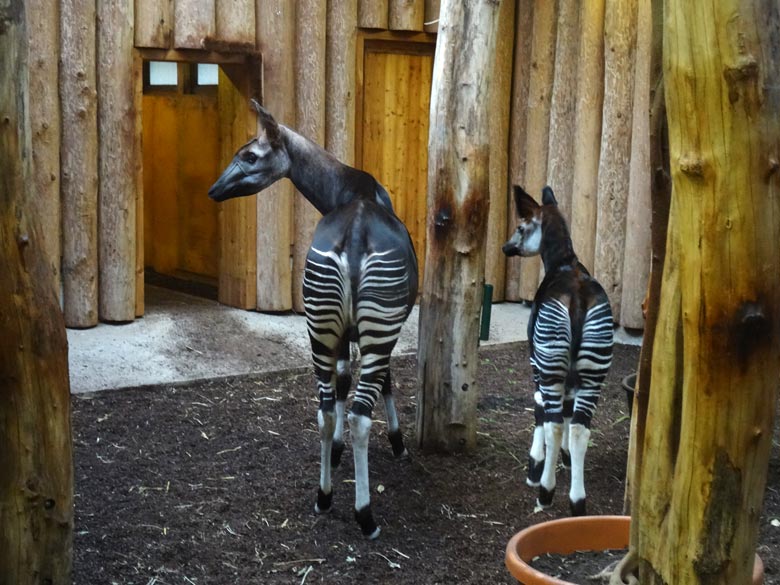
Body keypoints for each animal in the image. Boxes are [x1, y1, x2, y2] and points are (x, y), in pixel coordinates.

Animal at [500, 185, 616, 512]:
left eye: (520, 227)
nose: (505, 248)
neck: (564, 262)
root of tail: (577, 299)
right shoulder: (574, 375)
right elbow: (567, 413)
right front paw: (565, 460)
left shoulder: (535, 362)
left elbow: (541, 410)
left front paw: (535, 468)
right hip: (594, 371)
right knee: (579, 427)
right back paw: (577, 501)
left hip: (551, 364)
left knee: (552, 422)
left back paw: (545, 492)